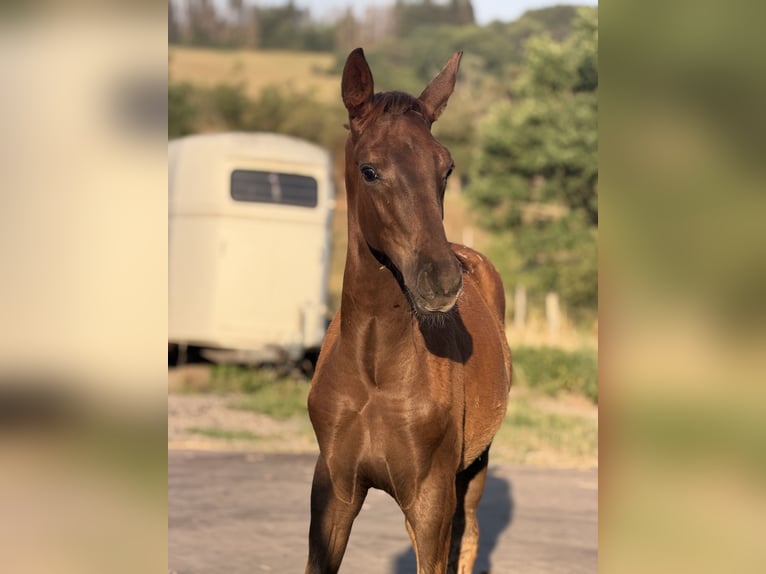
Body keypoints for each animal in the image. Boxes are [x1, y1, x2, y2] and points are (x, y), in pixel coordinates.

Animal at [306, 48, 512, 574]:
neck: (375, 369)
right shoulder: (333, 492)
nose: (442, 279)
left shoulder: (431, 498)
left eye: (447, 168)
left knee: (468, 537)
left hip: (474, 468)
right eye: (369, 169)